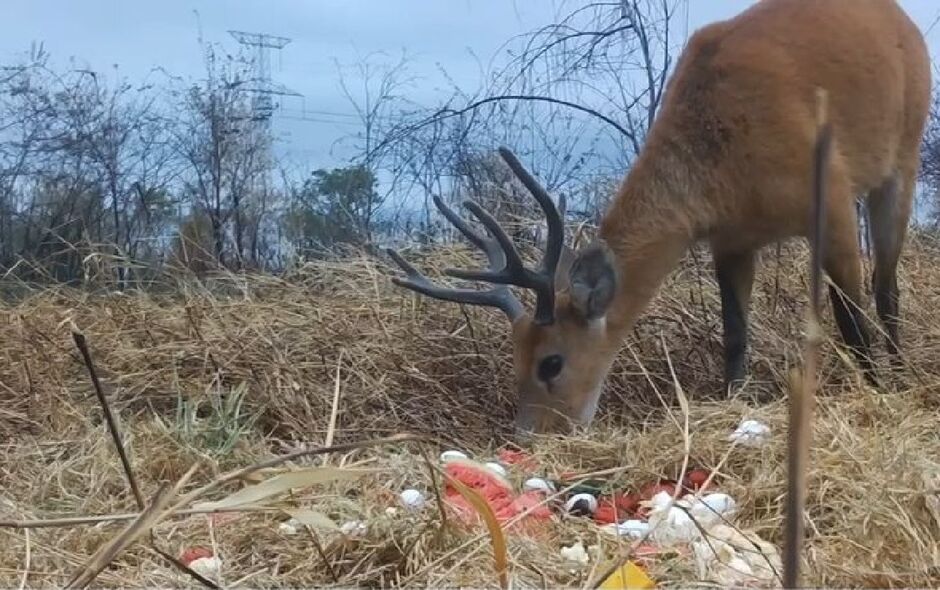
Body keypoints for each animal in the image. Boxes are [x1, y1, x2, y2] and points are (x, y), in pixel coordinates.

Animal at [386, 0, 928, 434]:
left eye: (551, 362)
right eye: (514, 355)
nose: (528, 435)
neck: (723, 157)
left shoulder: (830, 197)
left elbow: (852, 318)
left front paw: (875, 392)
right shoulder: (731, 238)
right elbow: (734, 334)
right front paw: (733, 402)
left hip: (903, 157)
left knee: (886, 286)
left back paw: (901, 374)